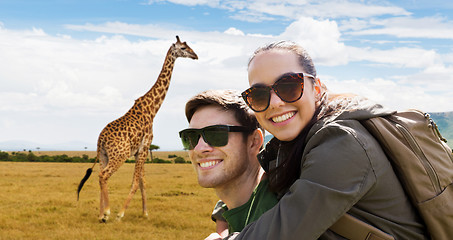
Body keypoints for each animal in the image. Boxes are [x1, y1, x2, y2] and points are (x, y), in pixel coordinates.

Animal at [77, 35, 197, 221]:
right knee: (104, 175)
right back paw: (108, 212)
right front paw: (121, 213)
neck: (153, 108)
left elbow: (142, 181)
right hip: (119, 155)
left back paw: (101, 214)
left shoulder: (140, 150)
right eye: (183, 48)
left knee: (100, 176)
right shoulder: (145, 146)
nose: (195, 55)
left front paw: (145, 213)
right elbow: (135, 182)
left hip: (103, 156)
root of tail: (101, 139)